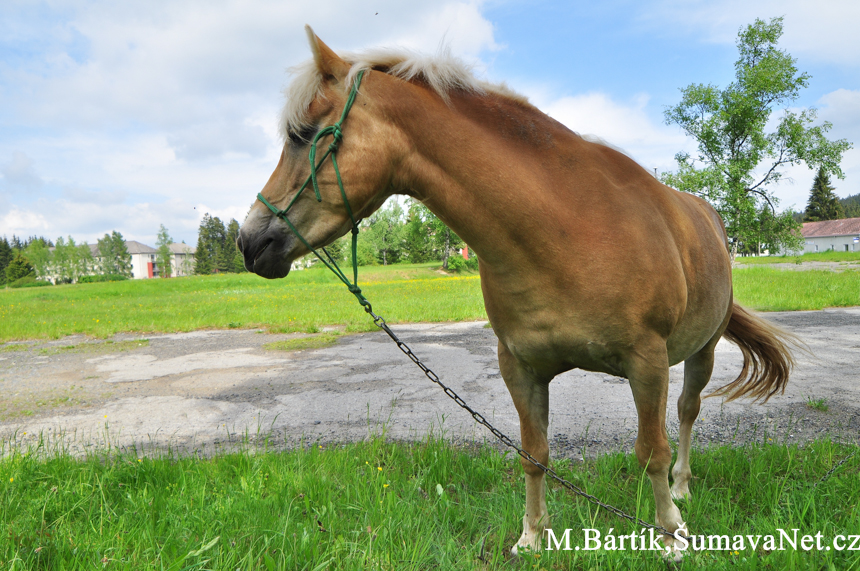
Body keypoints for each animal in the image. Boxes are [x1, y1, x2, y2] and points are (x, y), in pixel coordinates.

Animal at [237, 27, 800, 560]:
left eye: (302, 134)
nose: (250, 242)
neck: (568, 230)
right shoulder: (520, 366)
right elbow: (535, 454)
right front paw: (532, 536)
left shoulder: (648, 361)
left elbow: (652, 452)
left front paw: (669, 535)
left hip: (702, 349)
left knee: (685, 412)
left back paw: (682, 489)